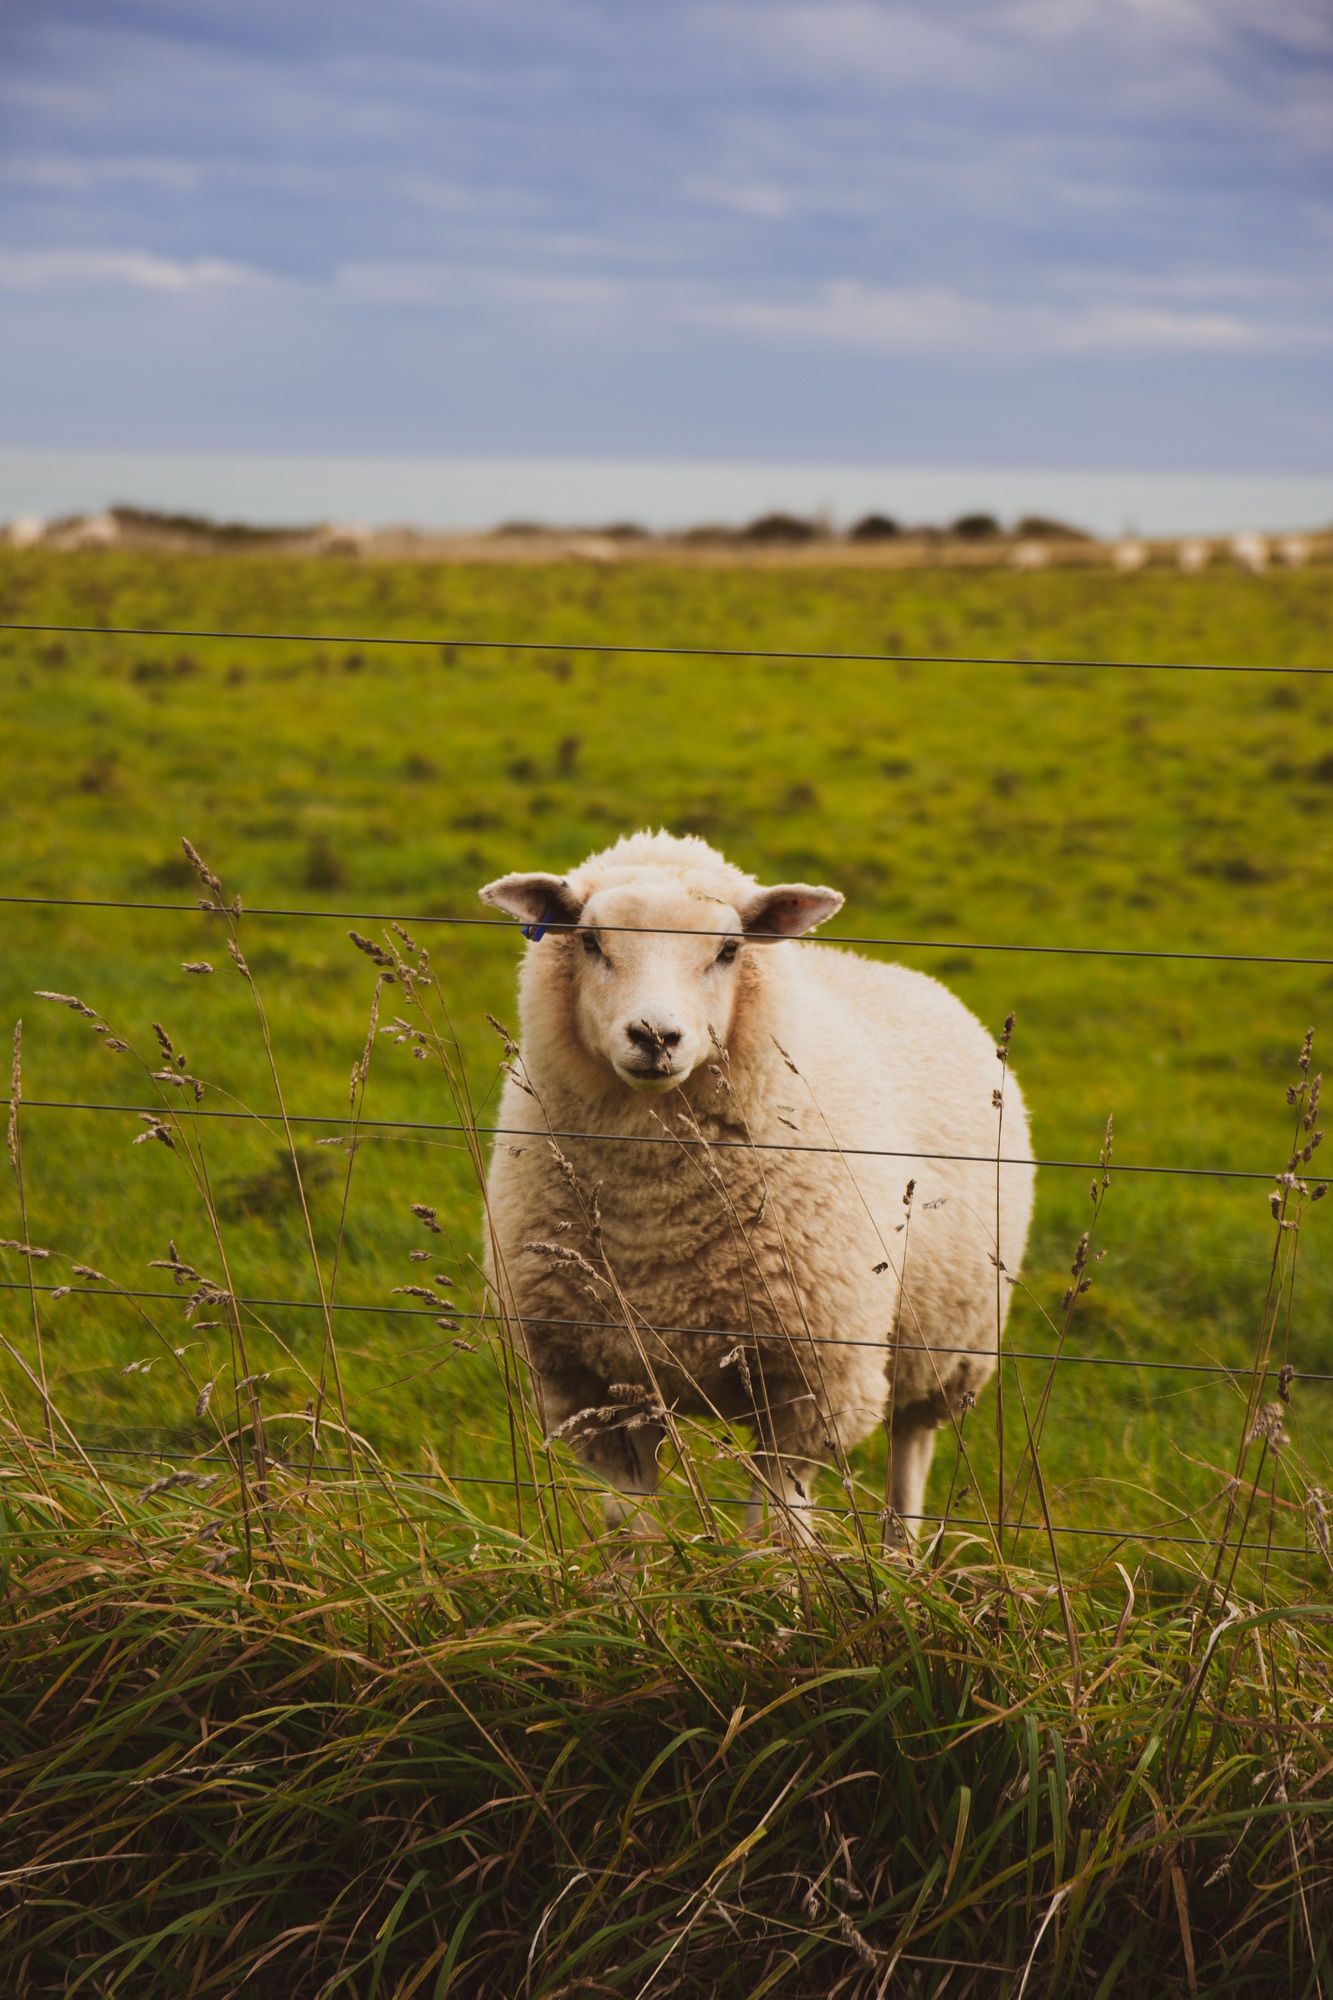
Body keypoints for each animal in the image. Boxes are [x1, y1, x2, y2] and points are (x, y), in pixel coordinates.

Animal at [480, 831, 1035, 1539]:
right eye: (590, 941)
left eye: (728, 949)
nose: (655, 1035)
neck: (652, 1217)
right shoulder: (589, 1387)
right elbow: (636, 1534)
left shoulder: (812, 1385)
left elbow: (772, 1537)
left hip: (946, 1342)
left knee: (910, 1444)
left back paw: (899, 1553)